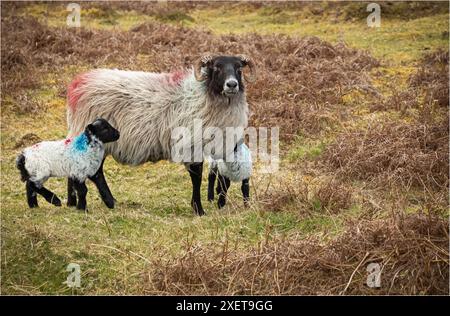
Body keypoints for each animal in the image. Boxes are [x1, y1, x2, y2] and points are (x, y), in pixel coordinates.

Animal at [67, 55, 256, 217]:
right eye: (217, 67)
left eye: (239, 68)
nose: (231, 85)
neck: (204, 95)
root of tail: (79, 83)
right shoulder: (191, 144)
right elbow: (196, 177)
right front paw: (199, 209)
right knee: (92, 170)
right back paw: (102, 202)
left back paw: (74, 202)